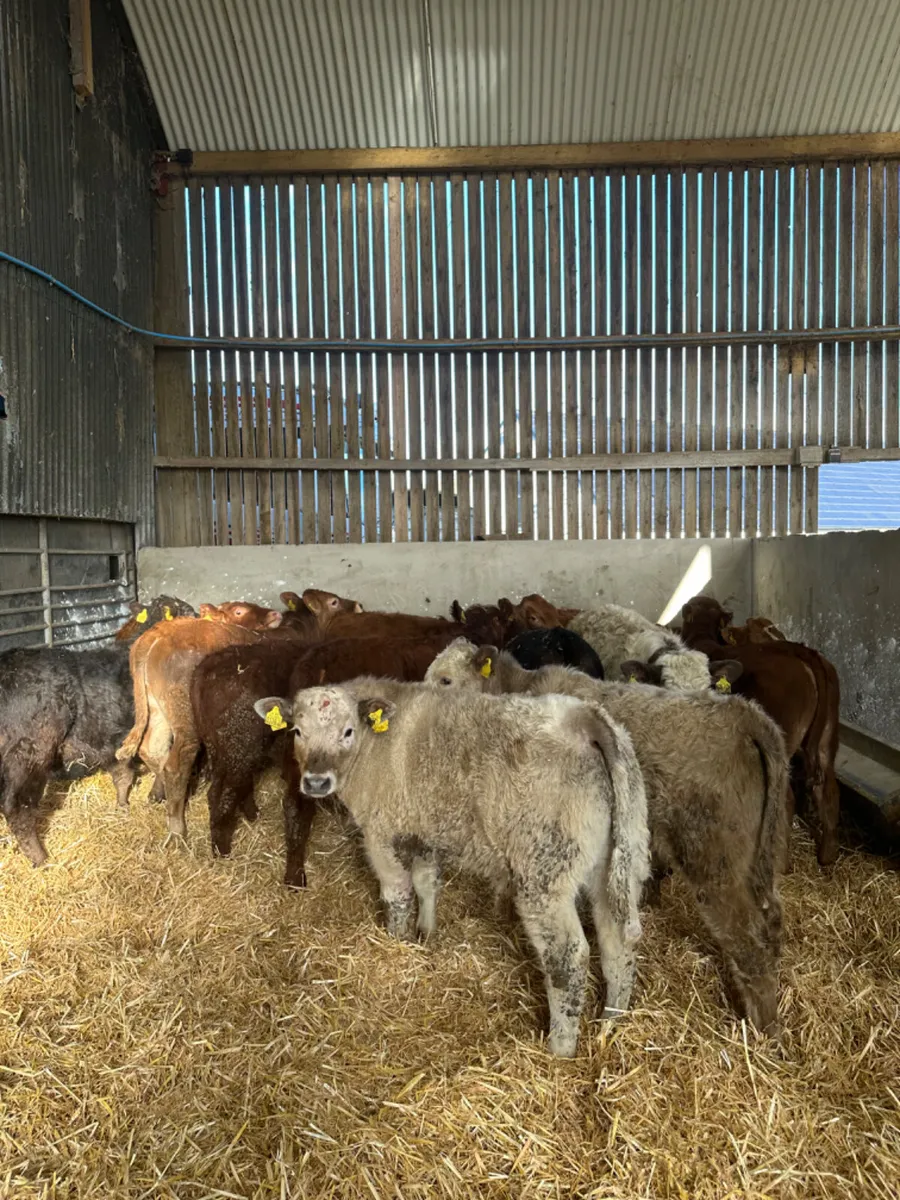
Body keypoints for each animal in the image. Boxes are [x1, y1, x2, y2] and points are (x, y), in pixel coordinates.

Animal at [253, 678, 650, 1057]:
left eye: (348, 731)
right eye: (297, 731)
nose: (316, 782)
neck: (375, 747)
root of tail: (582, 717)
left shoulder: (381, 836)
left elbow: (398, 895)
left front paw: (397, 943)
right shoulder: (424, 832)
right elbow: (427, 882)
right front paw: (426, 933)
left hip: (544, 876)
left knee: (568, 957)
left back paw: (561, 1049)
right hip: (620, 863)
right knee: (618, 945)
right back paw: (611, 1024)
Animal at [425, 639, 788, 1035]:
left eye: (445, 680)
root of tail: (742, 713)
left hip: (714, 864)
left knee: (748, 943)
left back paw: (763, 1032)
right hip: (758, 859)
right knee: (771, 919)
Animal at [680, 594, 841, 866]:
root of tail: (805, 655)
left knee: (786, 799)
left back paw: (780, 862)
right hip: (826, 740)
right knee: (827, 789)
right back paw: (827, 855)